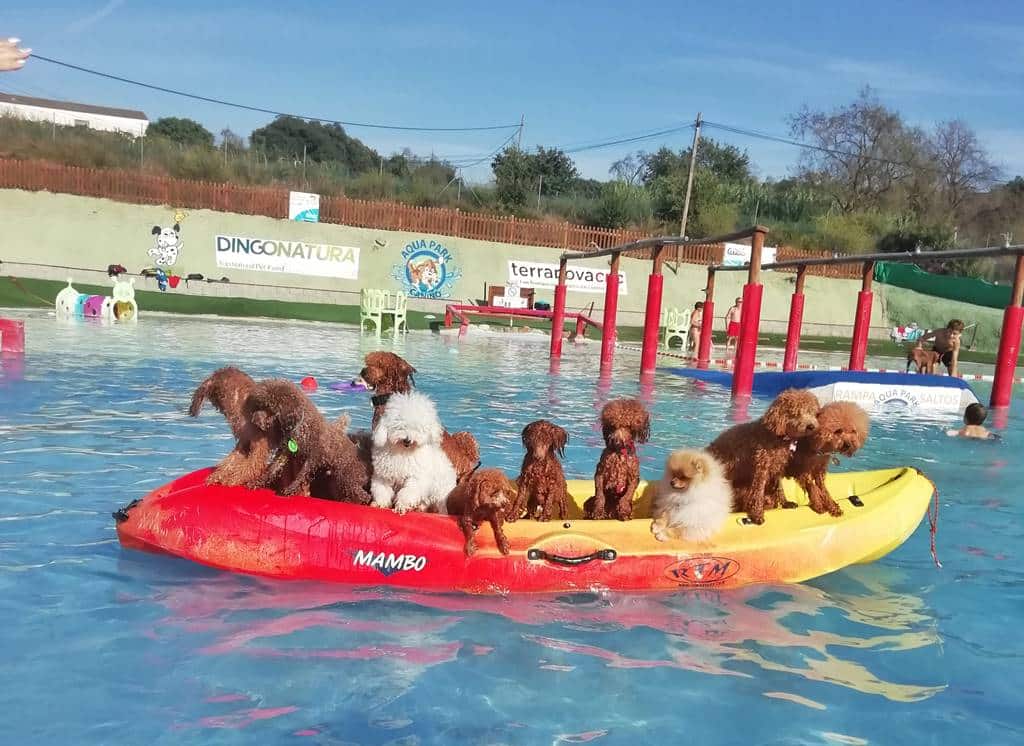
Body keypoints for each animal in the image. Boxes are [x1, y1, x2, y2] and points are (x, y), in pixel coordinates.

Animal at [241, 380, 370, 503]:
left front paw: (290, 489)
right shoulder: (285, 452)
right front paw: (257, 482)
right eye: (259, 406)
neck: (300, 428)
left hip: (347, 477)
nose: (253, 420)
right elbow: (273, 468)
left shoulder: (313, 457)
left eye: (270, 408)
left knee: (361, 495)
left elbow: (301, 474)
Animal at [708, 390, 819, 523]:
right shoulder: (761, 468)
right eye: (796, 413)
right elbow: (758, 492)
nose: (811, 426)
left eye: (812, 412)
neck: (777, 436)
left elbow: (779, 487)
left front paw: (785, 503)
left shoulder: (777, 467)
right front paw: (757, 514)